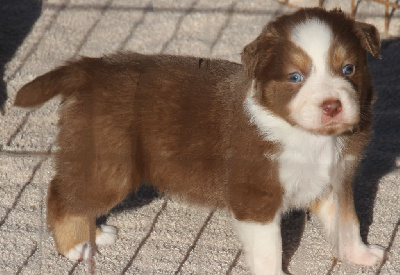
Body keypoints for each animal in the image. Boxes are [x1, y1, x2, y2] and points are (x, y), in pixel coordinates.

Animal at [15, 7, 388, 274]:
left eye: (348, 69)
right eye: (295, 77)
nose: (332, 105)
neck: (308, 137)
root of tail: (90, 69)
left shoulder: (336, 181)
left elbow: (349, 223)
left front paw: (361, 256)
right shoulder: (255, 196)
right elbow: (269, 251)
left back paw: (95, 234)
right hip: (110, 166)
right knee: (62, 194)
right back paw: (75, 247)